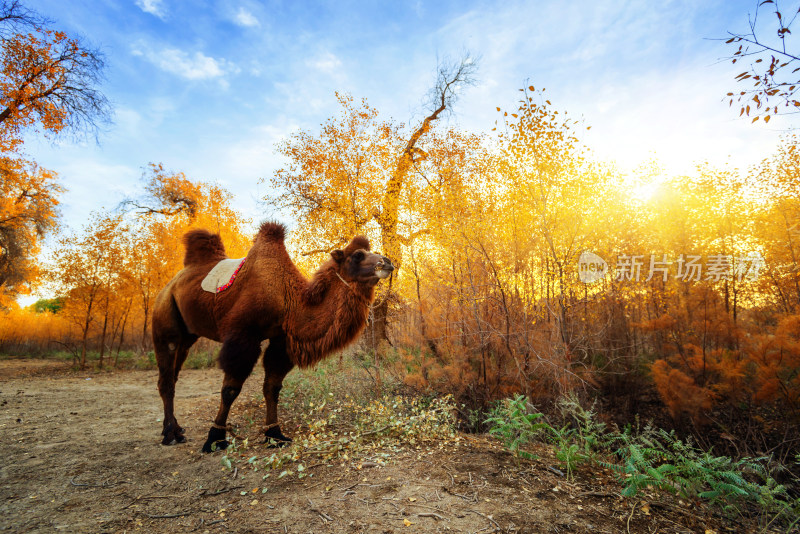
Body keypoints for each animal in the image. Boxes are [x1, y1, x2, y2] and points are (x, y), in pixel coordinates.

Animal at [152, 222, 392, 452]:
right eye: (357, 255)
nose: (387, 262)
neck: (288, 300)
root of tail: (170, 284)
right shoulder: (243, 336)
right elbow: (230, 389)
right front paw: (215, 438)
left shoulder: (281, 340)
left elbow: (272, 387)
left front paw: (274, 435)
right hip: (165, 322)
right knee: (166, 379)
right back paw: (170, 435)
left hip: (187, 336)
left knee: (173, 375)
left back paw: (175, 429)